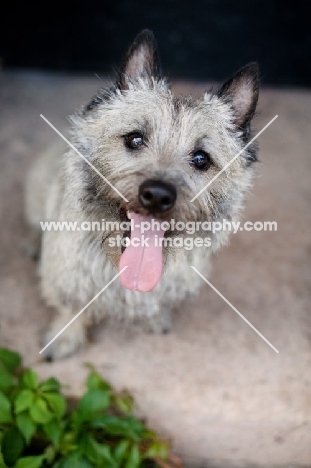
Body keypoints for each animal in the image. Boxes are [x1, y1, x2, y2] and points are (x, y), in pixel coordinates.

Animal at [24, 29, 260, 360]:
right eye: (134, 139)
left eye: (201, 159)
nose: (158, 196)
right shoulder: (65, 273)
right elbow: (70, 307)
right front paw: (65, 336)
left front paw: (153, 318)